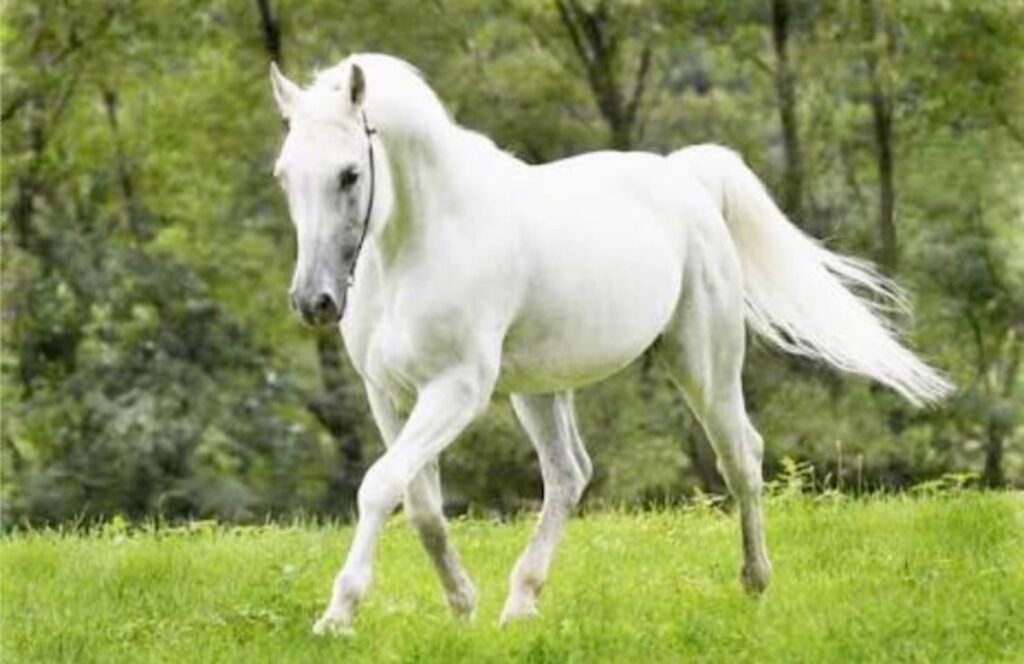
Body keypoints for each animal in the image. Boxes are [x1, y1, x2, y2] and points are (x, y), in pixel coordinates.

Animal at [267, 53, 952, 636]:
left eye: (350, 174)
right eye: (285, 176)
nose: (313, 302)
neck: (420, 243)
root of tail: (686, 179)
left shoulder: (456, 390)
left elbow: (379, 486)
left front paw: (338, 614)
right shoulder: (388, 394)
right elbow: (420, 504)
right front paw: (461, 605)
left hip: (701, 364)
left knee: (741, 458)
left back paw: (755, 584)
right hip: (539, 389)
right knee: (569, 475)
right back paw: (519, 604)